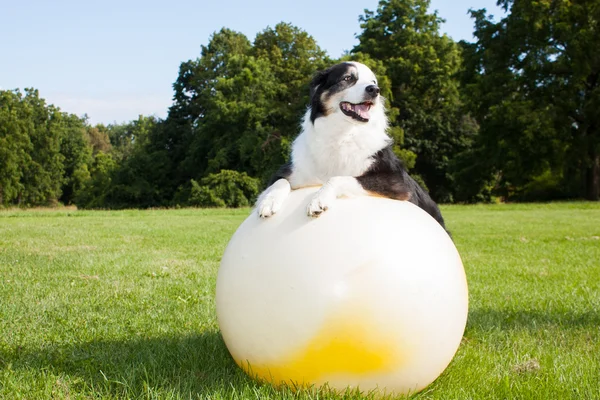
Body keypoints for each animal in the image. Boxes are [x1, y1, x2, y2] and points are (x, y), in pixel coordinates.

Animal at [255, 60, 448, 230]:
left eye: (373, 82)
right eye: (348, 78)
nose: (375, 90)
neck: (343, 134)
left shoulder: (397, 182)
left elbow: (340, 178)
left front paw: (319, 199)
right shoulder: (289, 171)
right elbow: (279, 182)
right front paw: (268, 202)